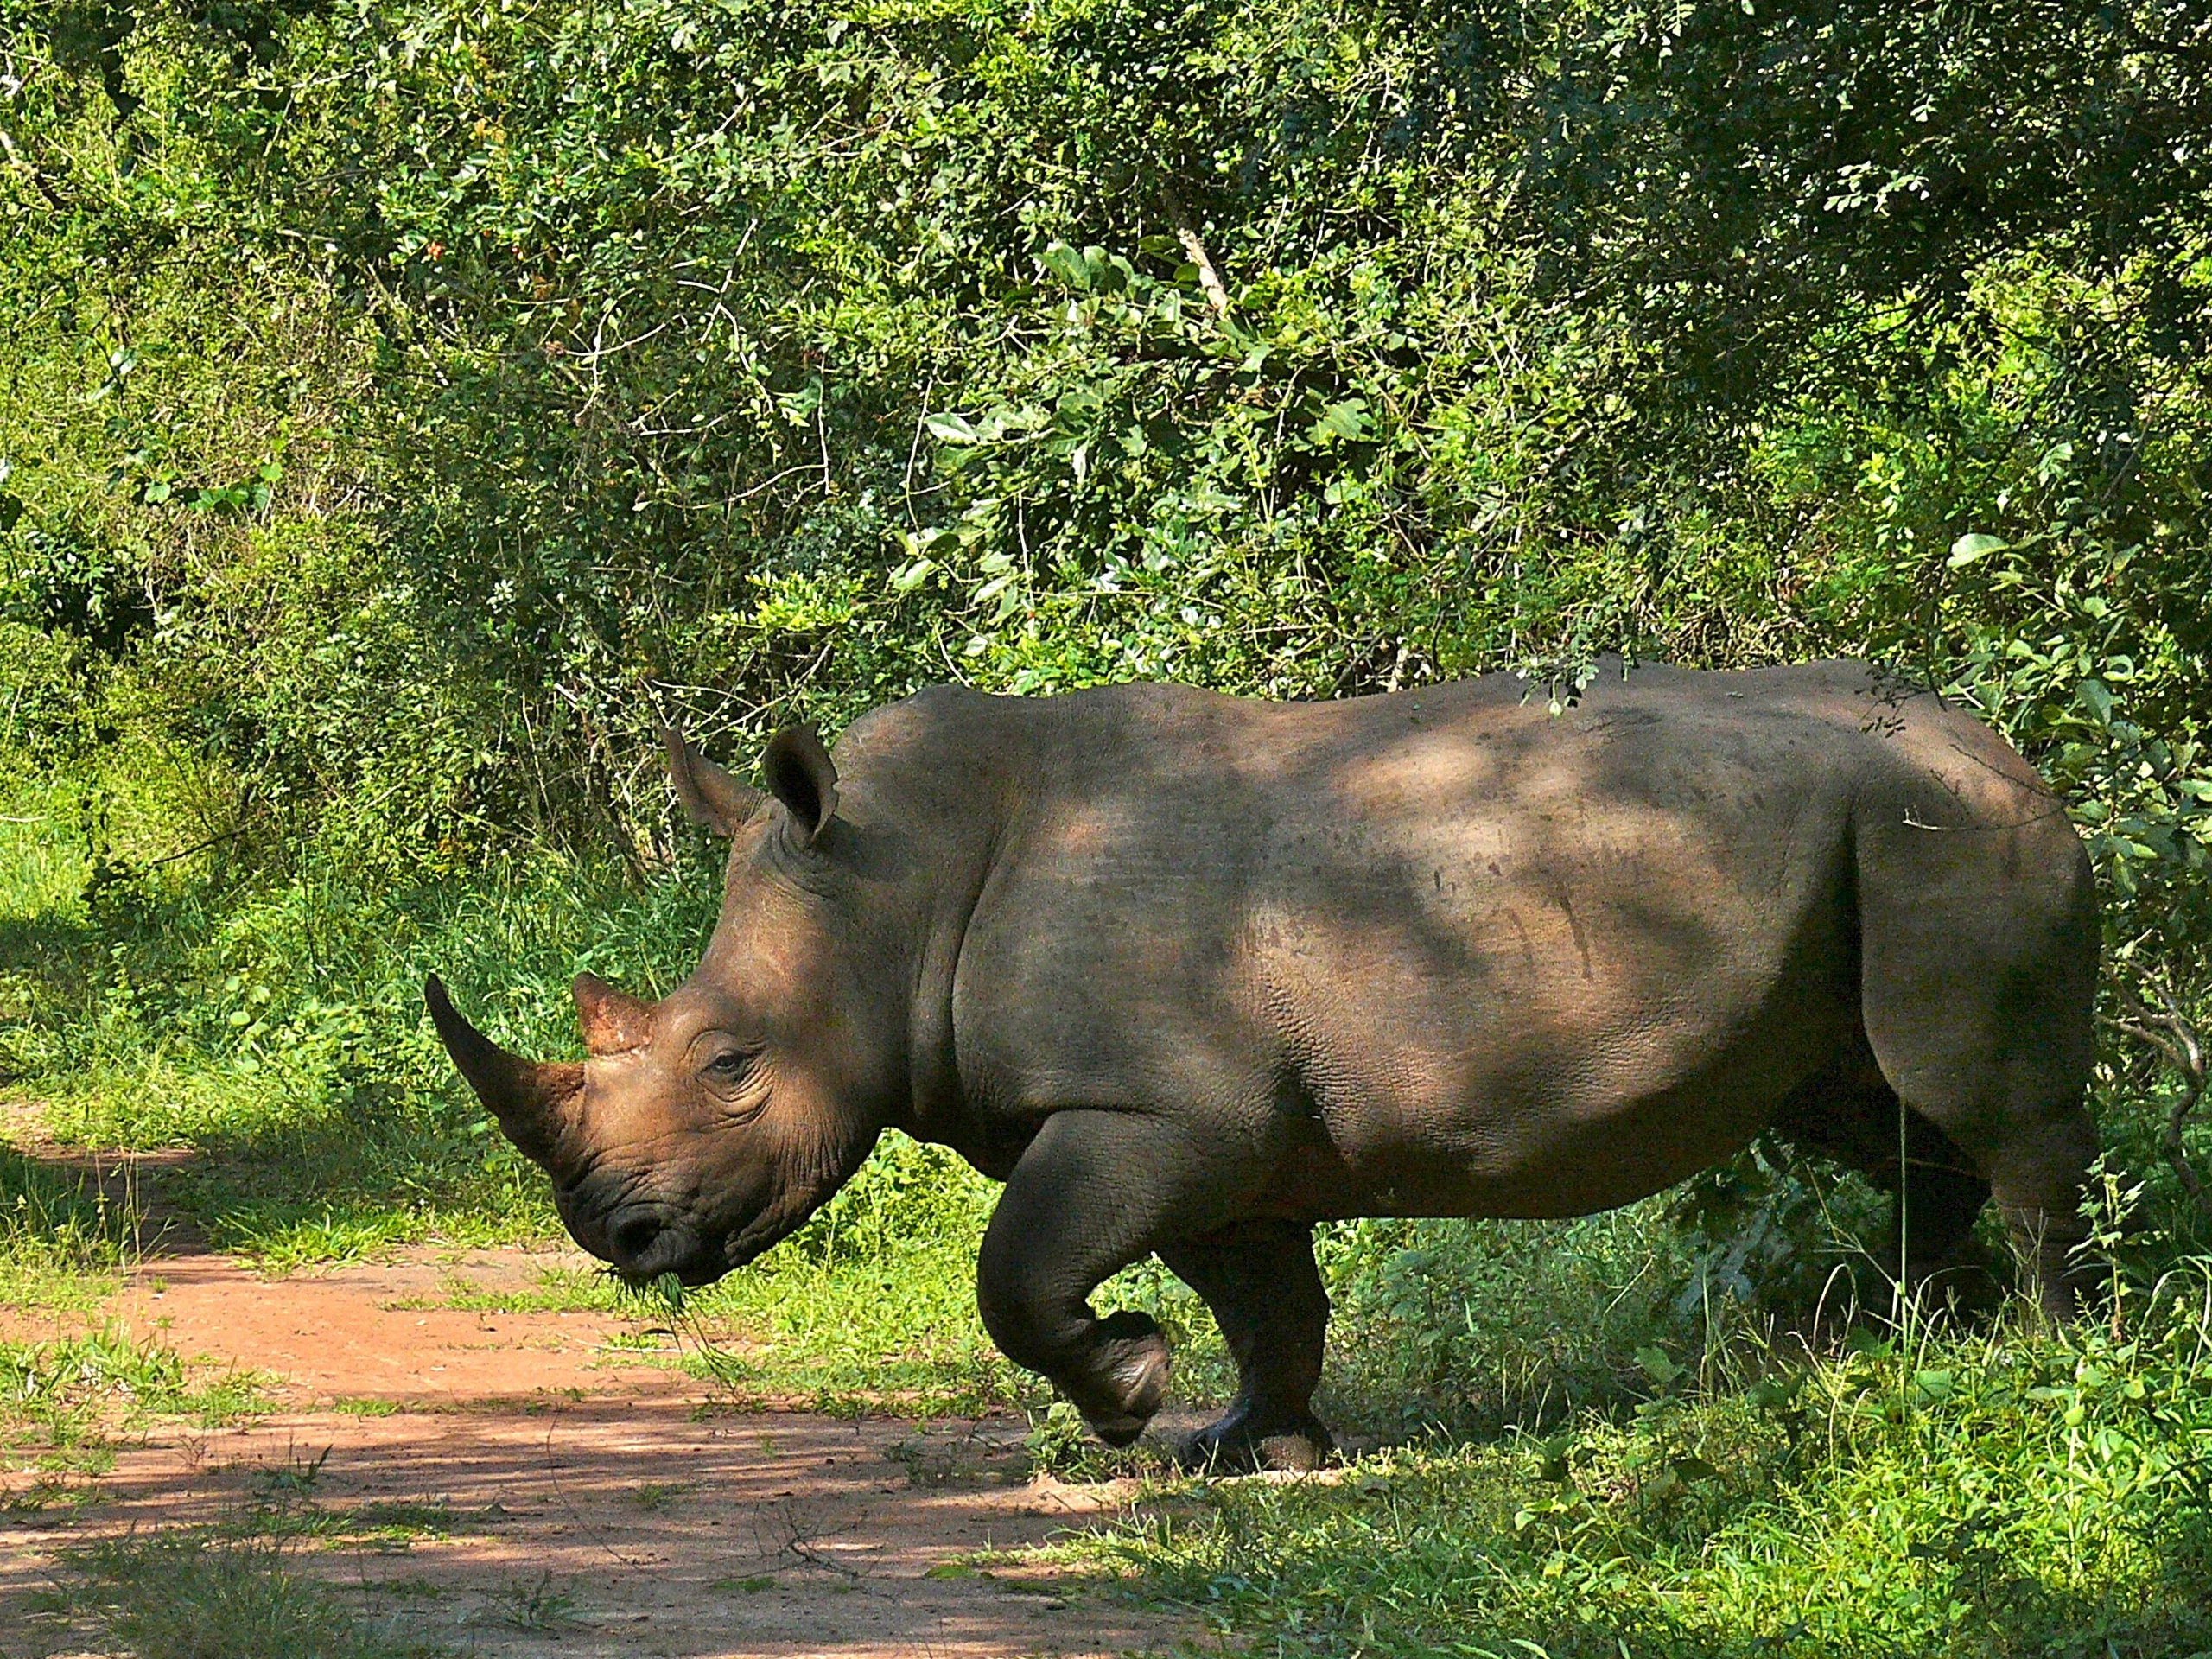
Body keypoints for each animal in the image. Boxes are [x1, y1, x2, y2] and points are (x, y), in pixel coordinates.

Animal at [427, 661, 2098, 1466]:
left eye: (729, 1064)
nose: (617, 1235)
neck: (892, 887)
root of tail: (2008, 743)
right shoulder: (1221, 1135)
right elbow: (1267, 1300)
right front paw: (1247, 1449)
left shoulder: (1156, 1107)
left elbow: (1017, 1272)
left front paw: (1131, 1393)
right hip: (1873, 840)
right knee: (1871, 1112)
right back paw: (1900, 1335)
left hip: (1947, 832)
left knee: (1981, 1105)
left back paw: (2037, 1350)